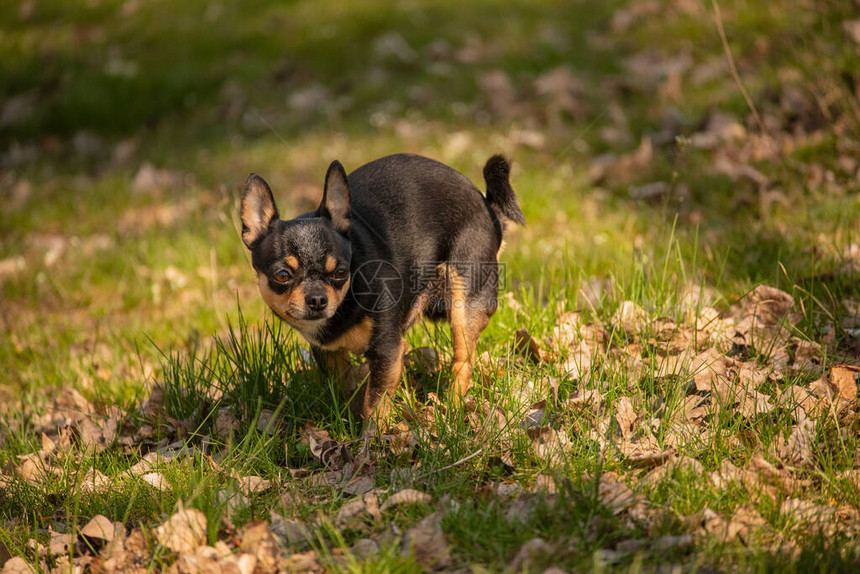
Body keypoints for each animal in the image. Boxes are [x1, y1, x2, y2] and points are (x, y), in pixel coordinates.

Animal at [240, 153, 524, 424]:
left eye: (341, 272)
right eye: (282, 276)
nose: (318, 299)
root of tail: (487, 206)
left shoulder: (387, 351)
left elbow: (375, 404)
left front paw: (373, 437)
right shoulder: (329, 355)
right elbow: (348, 389)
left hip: (465, 301)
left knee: (463, 362)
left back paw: (452, 410)